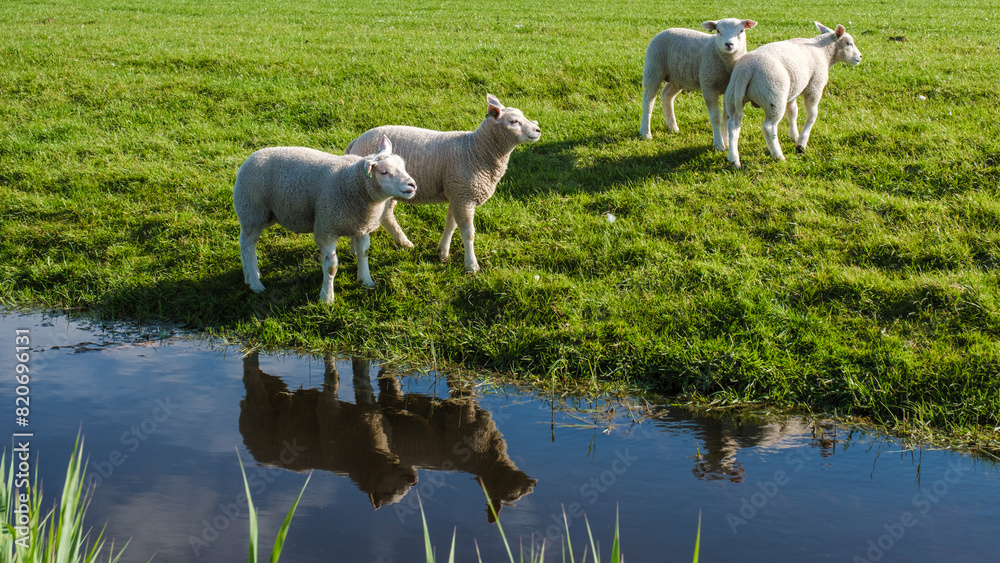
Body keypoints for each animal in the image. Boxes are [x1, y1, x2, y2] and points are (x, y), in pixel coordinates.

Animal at [233, 135, 417, 303]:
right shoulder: (326, 229)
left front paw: (366, 280)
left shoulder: (360, 226)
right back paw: (255, 282)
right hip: (252, 211)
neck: (352, 182)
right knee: (247, 244)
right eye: (384, 172)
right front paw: (327, 298)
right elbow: (331, 267)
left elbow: (363, 253)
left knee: (247, 242)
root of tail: (252, 157)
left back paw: (251, 276)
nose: (412, 185)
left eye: (403, 166)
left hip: (269, 214)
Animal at [345, 94, 541, 273]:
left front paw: (443, 252)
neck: (476, 150)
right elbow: (468, 234)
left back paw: (402, 243)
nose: (538, 130)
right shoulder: (463, 196)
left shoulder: (457, 193)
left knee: (386, 215)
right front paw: (471, 265)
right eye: (514, 121)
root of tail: (355, 142)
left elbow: (451, 225)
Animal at [639, 18, 758, 150]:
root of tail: (665, 30)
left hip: (678, 77)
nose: (728, 44)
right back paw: (645, 133)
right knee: (648, 101)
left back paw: (673, 127)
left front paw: (726, 142)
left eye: (741, 31)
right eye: (718, 31)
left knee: (666, 95)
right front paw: (719, 144)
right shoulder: (708, 86)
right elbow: (715, 118)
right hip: (654, 69)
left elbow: (726, 117)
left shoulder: (728, 90)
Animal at [725, 22, 863, 169]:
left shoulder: (792, 91)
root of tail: (746, 69)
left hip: (733, 97)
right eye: (849, 43)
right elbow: (812, 115)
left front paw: (794, 135)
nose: (860, 57)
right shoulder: (814, 87)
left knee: (733, 125)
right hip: (774, 97)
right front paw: (801, 144)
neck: (824, 52)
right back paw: (778, 156)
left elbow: (792, 112)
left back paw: (734, 159)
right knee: (768, 127)